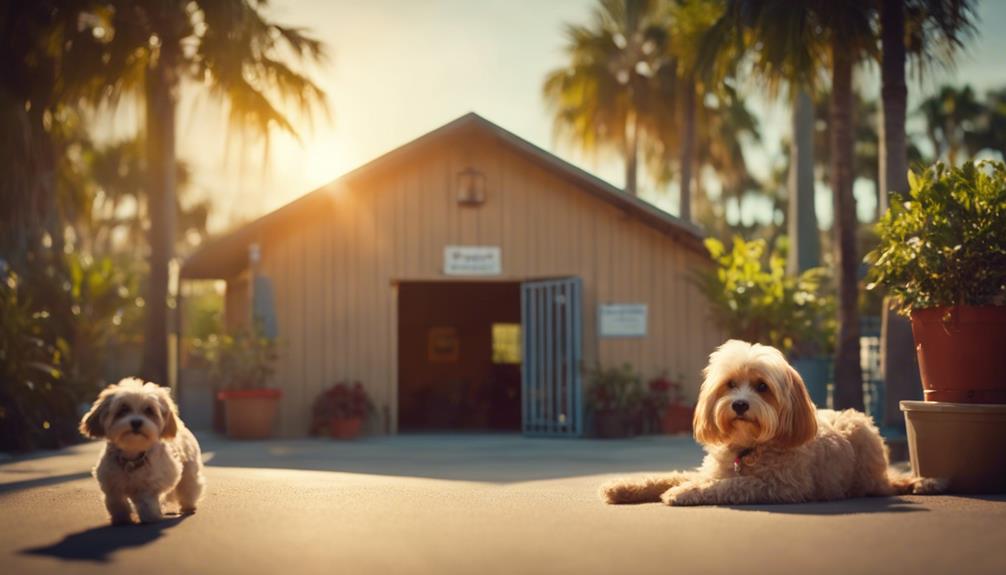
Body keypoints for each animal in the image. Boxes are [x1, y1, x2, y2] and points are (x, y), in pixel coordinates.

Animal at [80, 379, 206, 522]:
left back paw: (188, 506)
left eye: (149, 410)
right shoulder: (111, 483)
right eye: (123, 409)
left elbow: (146, 499)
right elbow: (116, 501)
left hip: (189, 471)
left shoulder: (151, 484)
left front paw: (149, 515)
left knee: (189, 487)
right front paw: (121, 517)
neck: (132, 455)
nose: (136, 422)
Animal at [603, 339, 941, 504]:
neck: (748, 447)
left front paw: (684, 492)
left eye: (762, 387)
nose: (740, 404)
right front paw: (623, 486)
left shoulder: (778, 485)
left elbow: (727, 485)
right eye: (730, 384)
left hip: (862, 439)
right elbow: (668, 476)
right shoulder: (712, 469)